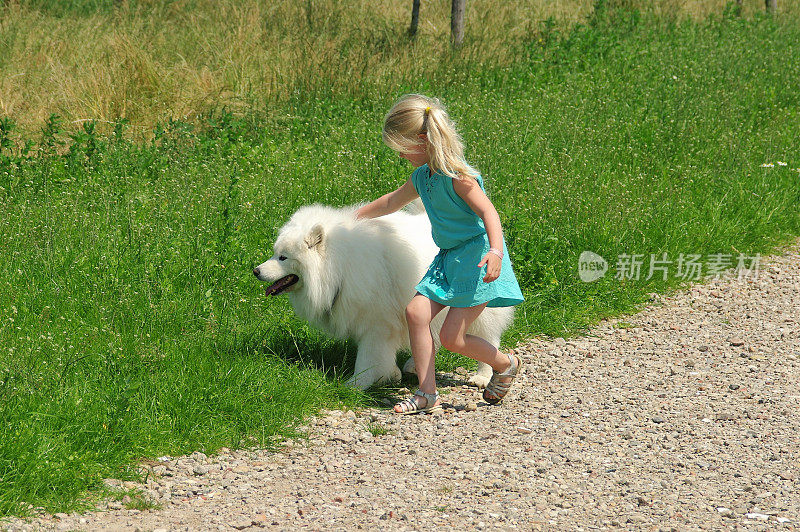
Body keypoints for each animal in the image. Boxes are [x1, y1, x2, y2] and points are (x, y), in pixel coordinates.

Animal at [256, 202, 520, 388]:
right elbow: (382, 355)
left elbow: (368, 357)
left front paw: (356, 384)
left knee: (488, 338)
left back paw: (483, 376)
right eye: (275, 253)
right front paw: (390, 375)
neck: (339, 265)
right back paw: (414, 365)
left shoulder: (377, 322)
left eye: (283, 257)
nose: (256, 271)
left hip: (476, 309)